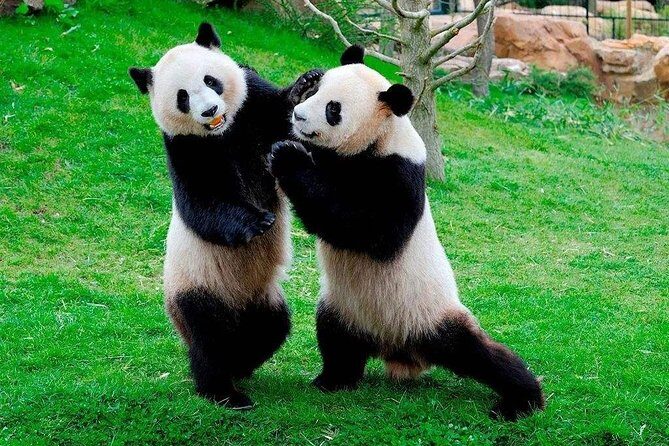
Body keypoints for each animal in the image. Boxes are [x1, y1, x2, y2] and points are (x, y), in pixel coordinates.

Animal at [128, 23, 316, 409]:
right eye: (183, 97)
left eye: (211, 80)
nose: (210, 110)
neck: (225, 130)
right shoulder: (185, 147)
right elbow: (202, 202)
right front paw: (258, 222)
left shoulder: (253, 104)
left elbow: (285, 123)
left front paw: (305, 86)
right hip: (196, 284)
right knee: (208, 337)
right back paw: (222, 389)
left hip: (263, 297)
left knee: (271, 327)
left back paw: (240, 364)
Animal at [269, 45, 545, 421]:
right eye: (317, 92)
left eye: (333, 109)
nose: (299, 116)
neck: (376, 139)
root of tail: (399, 348)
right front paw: (297, 88)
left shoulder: (400, 171)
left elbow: (373, 231)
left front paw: (288, 158)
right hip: (344, 306)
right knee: (336, 341)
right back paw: (332, 380)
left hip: (428, 313)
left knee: (480, 354)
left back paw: (521, 399)